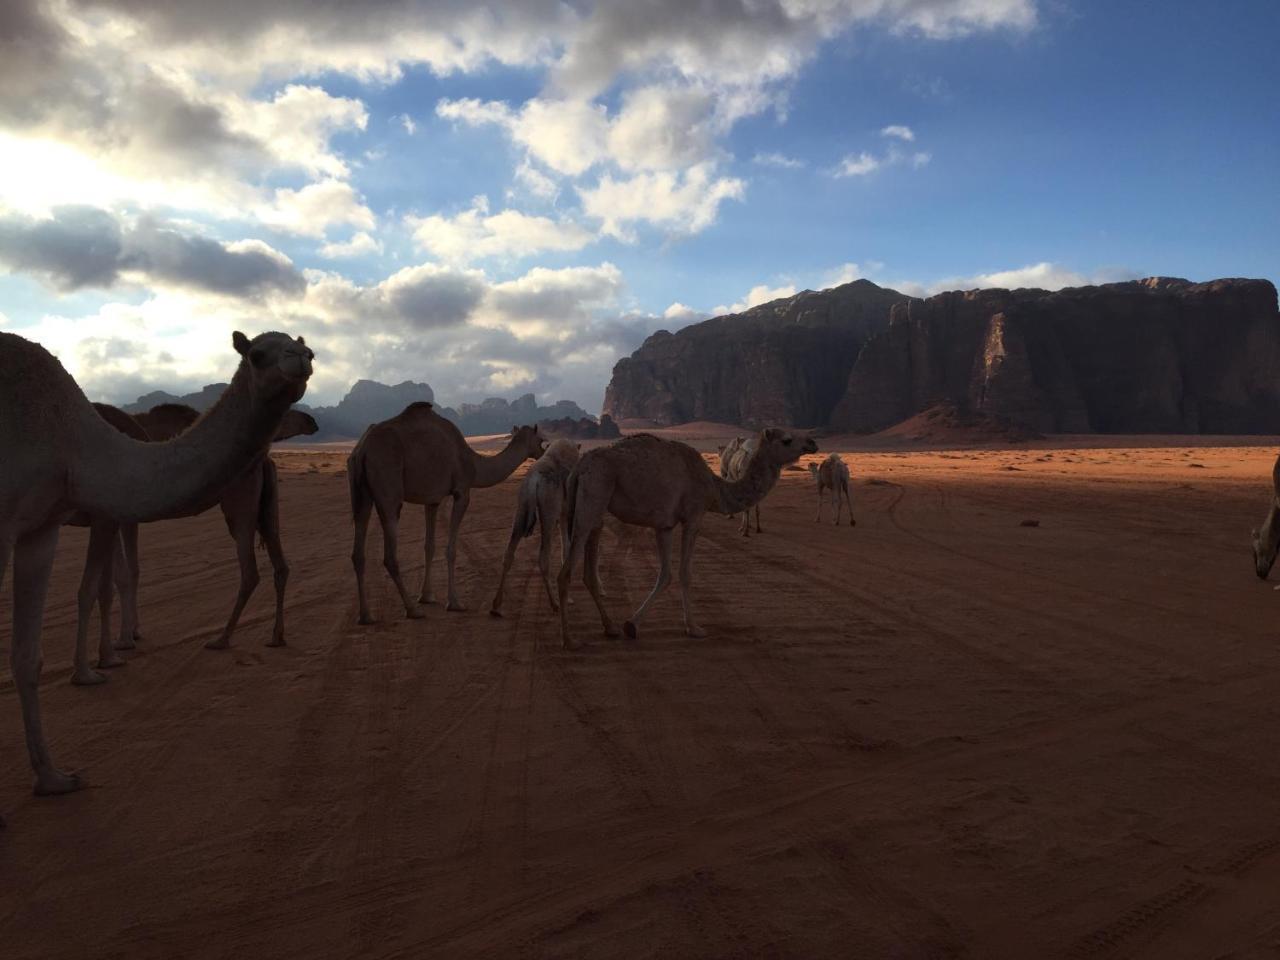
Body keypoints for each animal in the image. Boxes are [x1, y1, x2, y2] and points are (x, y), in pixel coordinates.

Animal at [136, 401, 320, 650]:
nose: (311, 421)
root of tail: (262, 460)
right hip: (267, 505)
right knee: (280, 563)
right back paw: (276, 636)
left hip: (239, 507)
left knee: (250, 572)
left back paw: (222, 638)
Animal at [350, 401, 545, 619]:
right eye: (540, 439)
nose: (544, 450)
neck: (474, 464)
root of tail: (363, 449)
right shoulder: (462, 491)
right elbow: (451, 549)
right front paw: (454, 602)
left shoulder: (432, 499)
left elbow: (429, 547)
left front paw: (427, 596)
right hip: (388, 485)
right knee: (390, 555)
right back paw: (412, 610)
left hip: (360, 492)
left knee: (358, 547)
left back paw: (365, 615)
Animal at [488, 437, 581, 616]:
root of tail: (534, 481)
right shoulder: (565, 512)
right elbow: (567, 547)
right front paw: (569, 598)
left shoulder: (563, 513)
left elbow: (565, 547)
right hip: (548, 511)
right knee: (543, 557)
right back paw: (555, 604)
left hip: (522, 507)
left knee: (508, 553)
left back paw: (496, 605)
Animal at [552, 430, 814, 650]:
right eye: (787, 440)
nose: (812, 442)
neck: (714, 488)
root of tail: (579, 468)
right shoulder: (693, 518)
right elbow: (685, 573)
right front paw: (694, 628)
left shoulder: (665, 526)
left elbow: (665, 575)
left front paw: (631, 625)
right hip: (593, 495)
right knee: (565, 572)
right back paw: (569, 640)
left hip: (592, 506)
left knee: (587, 570)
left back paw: (610, 628)